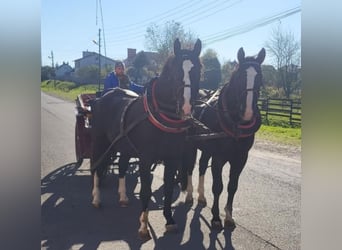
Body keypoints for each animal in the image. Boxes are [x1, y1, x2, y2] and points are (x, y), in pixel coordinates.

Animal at [89, 38, 202, 239]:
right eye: (175, 73)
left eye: (198, 71)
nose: (187, 108)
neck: (159, 115)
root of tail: (102, 97)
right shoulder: (145, 158)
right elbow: (145, 191)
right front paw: (143, 225)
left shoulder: (172, 158)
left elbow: (167, 188)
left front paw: (169, 221)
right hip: (99, 142)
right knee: (96, 167)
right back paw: (96, 198)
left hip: (123, 145)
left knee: (122, 167)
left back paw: (123, 197)